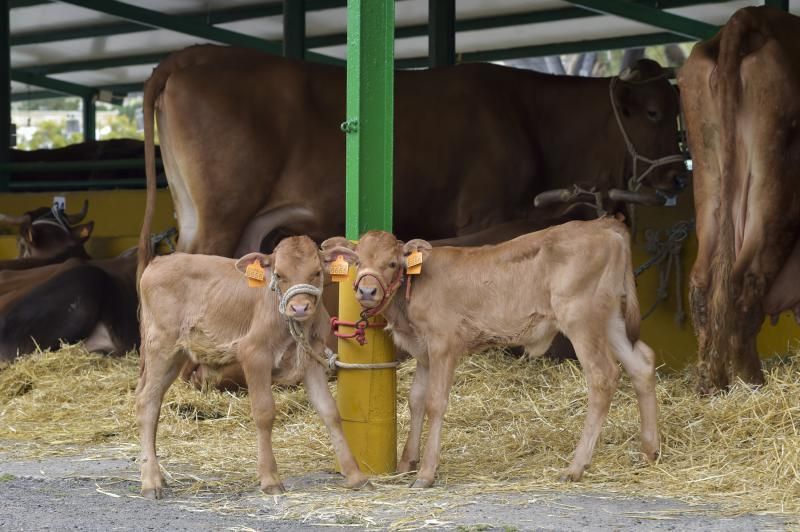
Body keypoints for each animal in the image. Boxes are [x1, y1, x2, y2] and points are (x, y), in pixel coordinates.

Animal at [136, 44, 680, 272]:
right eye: (654, 112)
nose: (676, 177)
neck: (528, 115)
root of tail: (193, 54)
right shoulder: (486, 213)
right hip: (221, 214)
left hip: (216, 216)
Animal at [137, 235, 368, 496]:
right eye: (278, 274)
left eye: (317, 272)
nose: (299, 307)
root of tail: (160, 261)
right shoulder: (254, 354)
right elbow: (264, 412)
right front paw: (270, 478)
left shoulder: (312, 361)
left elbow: (329, 412)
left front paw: (355, 474)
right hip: (160, 346)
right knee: (146, 403)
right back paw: (151, 481)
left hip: (175, 356)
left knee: (154, 401)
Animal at [322, 216, 660, 486]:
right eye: (357, 261)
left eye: (392, 264)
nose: (367, 291)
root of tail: (603, 224)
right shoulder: (424, 351)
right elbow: (415, 401)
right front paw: (407, 463)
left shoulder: (444, 344)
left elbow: (435, 403)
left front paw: (426, 473)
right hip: (610, 318)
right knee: (641, 363)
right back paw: (650, 451)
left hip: (581, 317)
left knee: (603, 376)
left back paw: (576, 467)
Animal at [680, 6, 800, 392]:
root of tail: (749, 17)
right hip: (773, 184)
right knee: (746, 281)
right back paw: (751, 381)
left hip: (708, 175)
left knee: (705, 282)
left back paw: (711, 383)